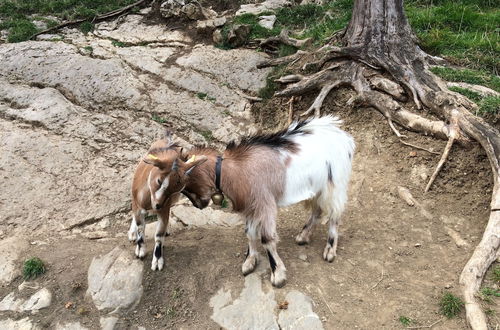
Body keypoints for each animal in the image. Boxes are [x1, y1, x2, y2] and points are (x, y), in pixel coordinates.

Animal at [131, 134, 207, 270]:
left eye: (177, 189)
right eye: (159, 181)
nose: (157, 205)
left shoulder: (164, 209)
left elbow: (159, 234)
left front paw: (157, 260)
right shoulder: (137, 206)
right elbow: (140, 226)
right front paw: (140, 250)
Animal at [158, 116, 354, 286]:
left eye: (184, 183)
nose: (199, 205)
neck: (236, 170)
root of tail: (345, 138)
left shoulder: (264, 205)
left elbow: (266, 238)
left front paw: (278, 274)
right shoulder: (251, 207)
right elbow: (250, 233)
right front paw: (249, 262)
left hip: (335, 184)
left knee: (334, 215)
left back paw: (329, 251)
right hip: (317, 188)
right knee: (317, 210)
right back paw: (303, 236)